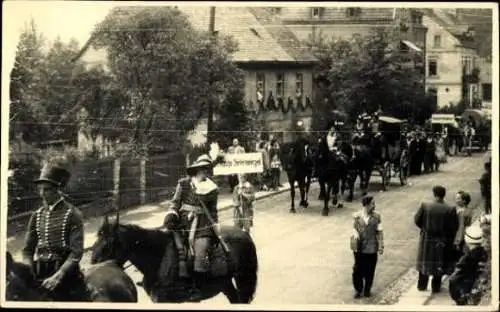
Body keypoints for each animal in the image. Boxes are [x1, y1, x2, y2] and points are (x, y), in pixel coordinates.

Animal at [90, 216, 260, 304]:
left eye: (108, 244)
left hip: (243, 278)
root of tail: (244, 233)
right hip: (225, 283)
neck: (157, 257)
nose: (93, 267)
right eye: (96, 241)